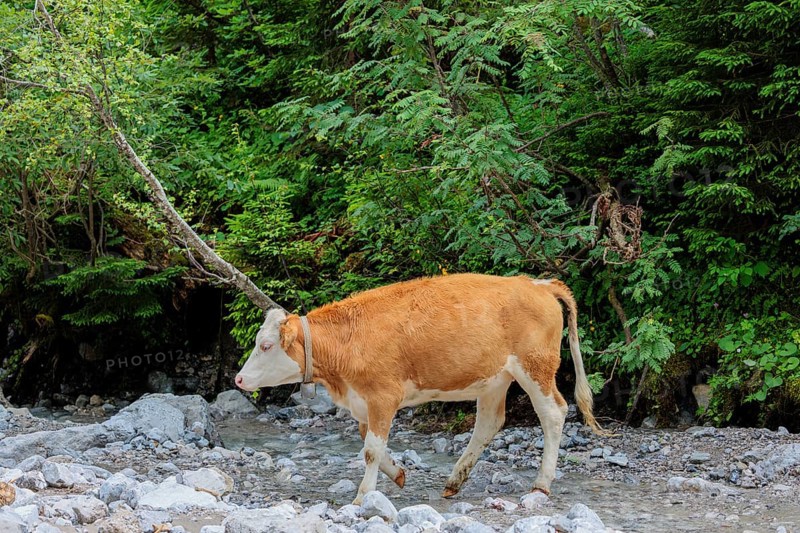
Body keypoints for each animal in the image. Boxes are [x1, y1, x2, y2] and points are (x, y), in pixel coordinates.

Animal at [235, 273, 603, 504]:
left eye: (266, 346)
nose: (238, 379)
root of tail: (538, 284)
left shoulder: (383, 396)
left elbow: (370, 449)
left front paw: (363, 496)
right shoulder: (365, 401)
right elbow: (371, 443)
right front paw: (398, 474)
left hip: (535, 368)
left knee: (553, 413)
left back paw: (541, 484)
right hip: (494, 379)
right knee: (490, 422)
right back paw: (454, 481)